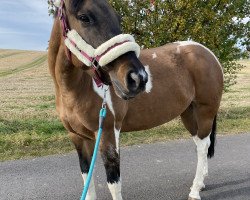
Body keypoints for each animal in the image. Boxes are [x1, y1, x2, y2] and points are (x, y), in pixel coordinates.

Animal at [47, 0, 224, 199]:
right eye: (84, 17)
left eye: (118, 18)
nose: (138, 77)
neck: (75, 89)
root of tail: (208, 53)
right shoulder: (78, 138)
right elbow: (87, 179)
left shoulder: (108, 133)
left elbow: (113, 182)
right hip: (188, 113)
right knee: (200, 143)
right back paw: (200, 184)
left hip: (205, 111)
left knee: (203, 146)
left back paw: (195, 190)